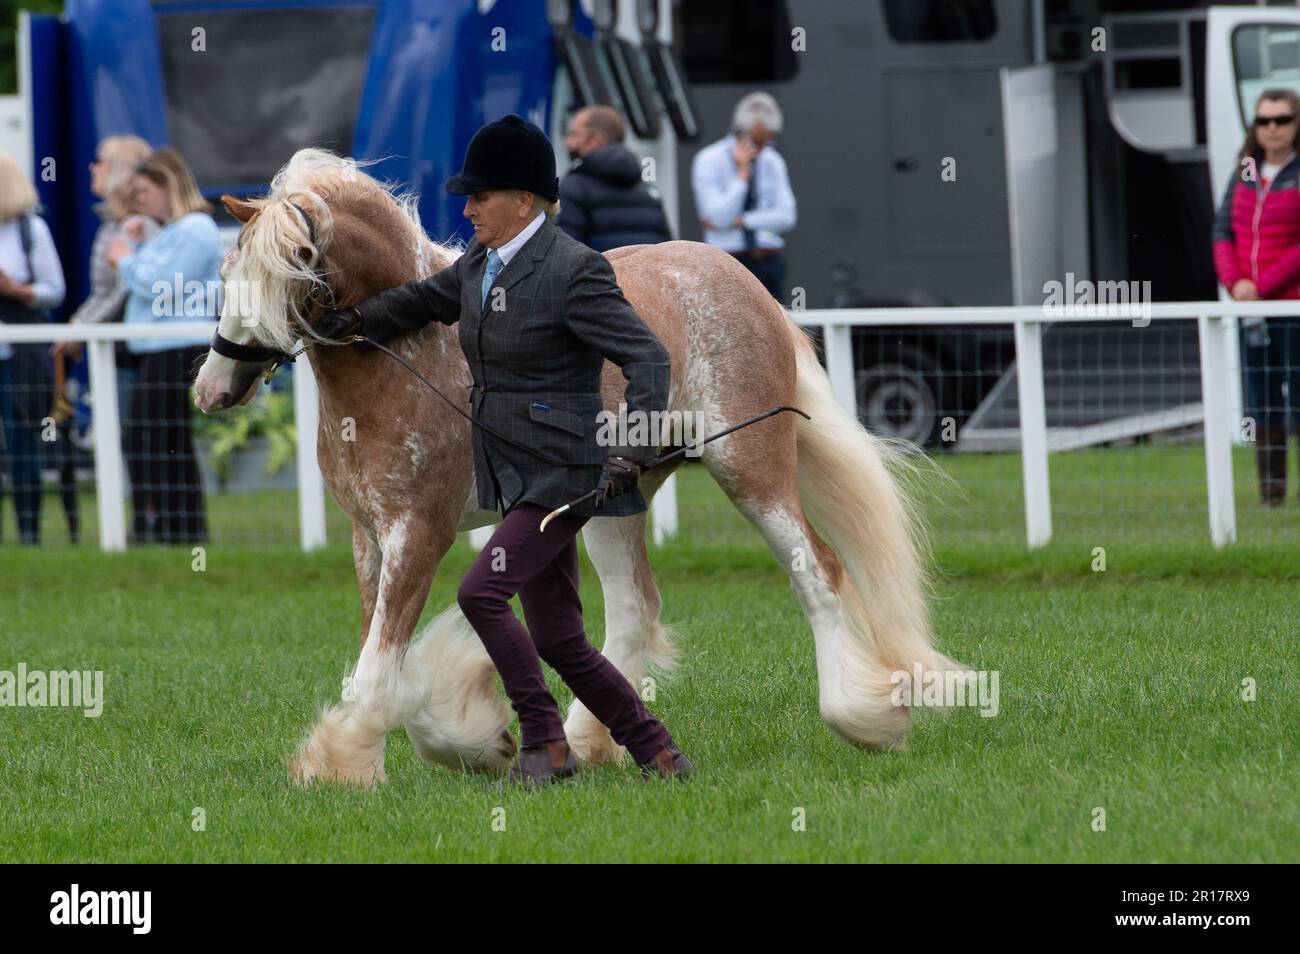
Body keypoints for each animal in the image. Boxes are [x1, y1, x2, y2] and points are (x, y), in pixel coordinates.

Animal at [192, 149, 967, 790]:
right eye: (228, 274)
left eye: (293, 267)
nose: (214, 389)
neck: (407, 356)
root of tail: (743, 281)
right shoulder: (370, 536)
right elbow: (381, 652)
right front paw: (461, 742)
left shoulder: (419, 531)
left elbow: (382, 662)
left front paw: (345, 760)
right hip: (613, 502)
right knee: (633, 610)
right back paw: (589, 743)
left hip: (750, 469)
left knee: (819, 572)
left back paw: (863, 720)